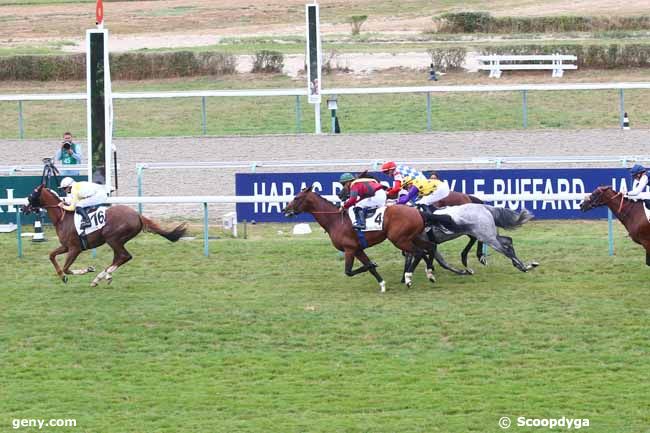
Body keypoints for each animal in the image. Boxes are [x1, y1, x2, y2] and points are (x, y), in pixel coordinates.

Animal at [20, 184, 187, 286]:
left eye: (31, 195)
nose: (23, 208)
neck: (62, 218)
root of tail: (137, 215)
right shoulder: (65, 246)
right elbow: (51, 256)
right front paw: (62, 276)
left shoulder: (75, 248)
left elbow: (67, 267)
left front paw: (86, 269)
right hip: (116, 241)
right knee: (119, 257)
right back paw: (103, 276)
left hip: (112, 238)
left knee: (125, 256)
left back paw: (101, 276)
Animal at [280, 186, 458, 292]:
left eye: (297, 198)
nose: (284, 209)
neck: (335, 221)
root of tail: (417, 211)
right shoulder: (358, 249)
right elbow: (368, 268)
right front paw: (382, 284)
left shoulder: (349, 249)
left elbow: (349, 271)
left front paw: (373, 264)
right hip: (412, 237)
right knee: (430, 246)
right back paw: (430, 273)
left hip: (399, 239)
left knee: (419, 252)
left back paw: (408, 277)